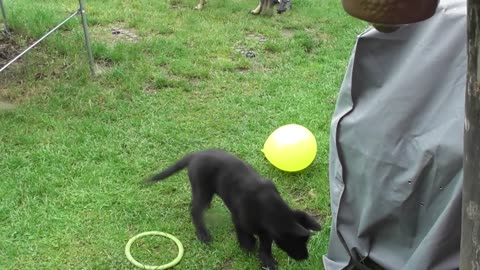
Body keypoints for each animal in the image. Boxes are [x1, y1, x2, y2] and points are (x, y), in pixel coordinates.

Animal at [144, 150, 320, 270]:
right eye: (296, 243)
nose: (306, 257)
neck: (270, 208)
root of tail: (196, 155)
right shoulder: (239, 219)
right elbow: (246, 235)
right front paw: (249, 247)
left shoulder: (267, 229)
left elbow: (266, 243)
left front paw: (266, 259)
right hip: (203, 189)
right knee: (195, 210)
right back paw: (203, 234)